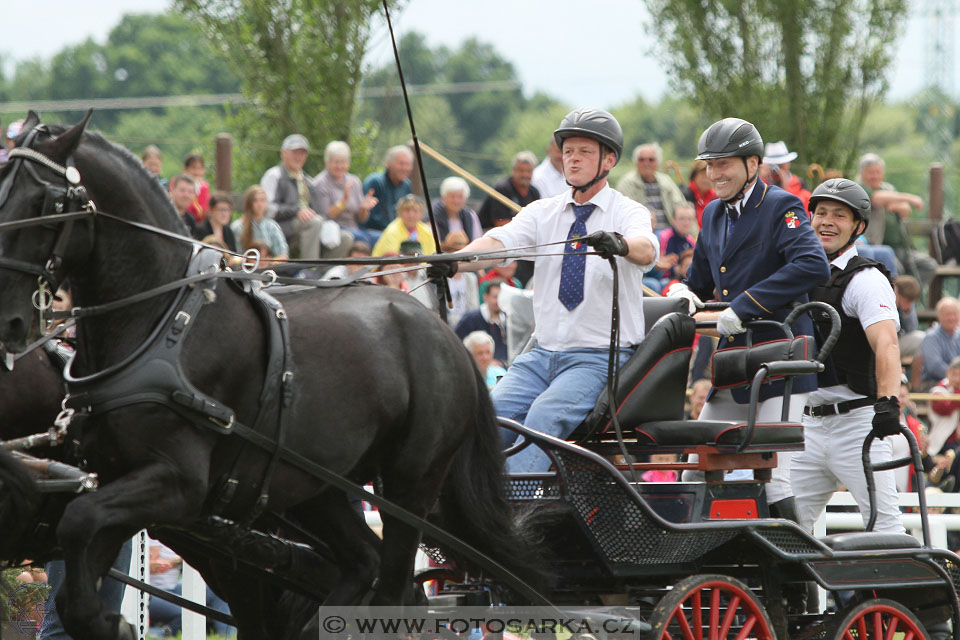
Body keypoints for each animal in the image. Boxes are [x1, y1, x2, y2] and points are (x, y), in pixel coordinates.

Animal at [0, 115, 532, 640]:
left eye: (44, 203)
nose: (11, 321)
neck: (162, 323)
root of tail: (447, 338)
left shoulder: (178, 483)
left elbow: (78, 523)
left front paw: (114, 624)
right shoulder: (111, 477)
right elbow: (77, 562)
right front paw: (109, 622)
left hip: (409, 484)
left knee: (392, 588)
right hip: (317, 487)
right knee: (363, 562)